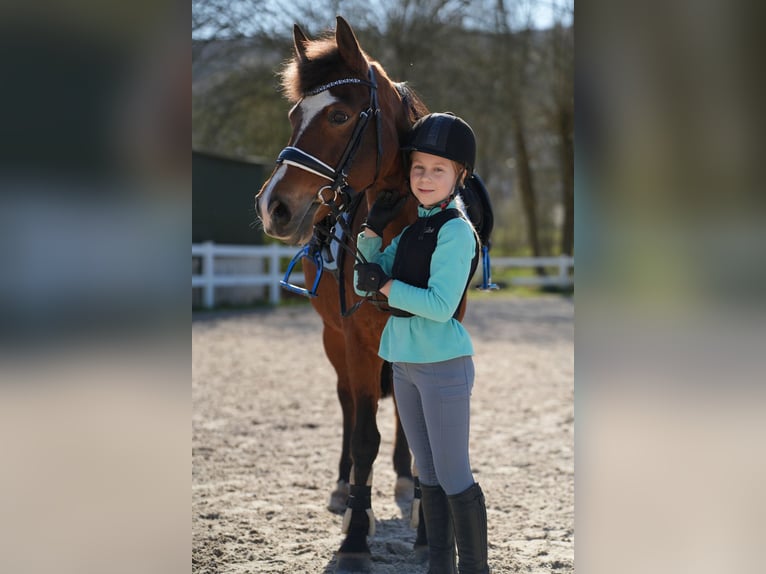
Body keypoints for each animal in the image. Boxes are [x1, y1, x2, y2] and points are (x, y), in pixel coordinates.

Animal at [256, 16, 469, 571]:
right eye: (294, 115)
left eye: (339, 114)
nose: (273, 207)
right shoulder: (355, 340)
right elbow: (364, 434)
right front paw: (355, 535)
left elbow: (418, 427)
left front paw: (424, 526)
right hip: (336, 342)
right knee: (351, 406)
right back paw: (346, 490)